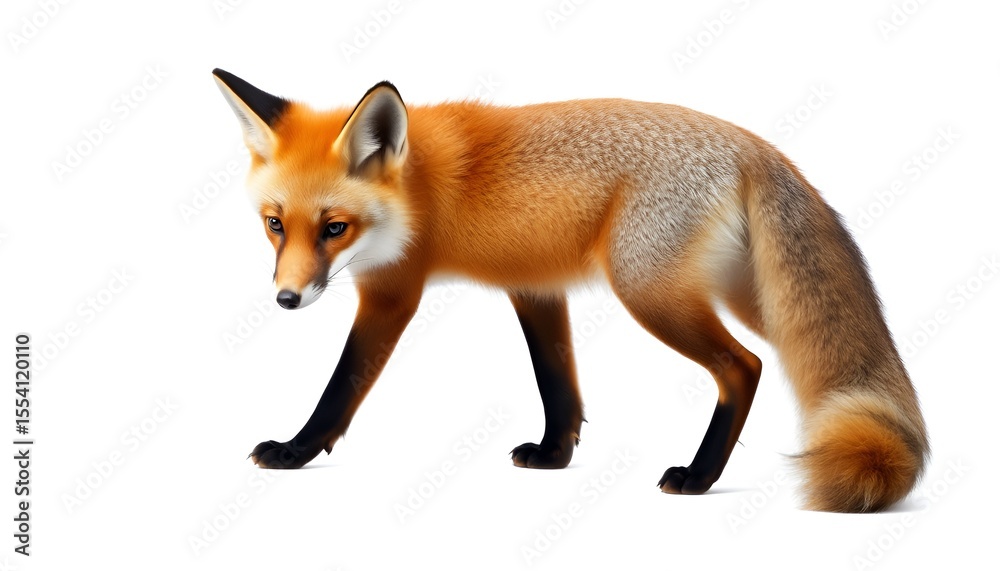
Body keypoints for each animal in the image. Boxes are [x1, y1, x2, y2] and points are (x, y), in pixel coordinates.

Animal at [212, 68, 928, 512]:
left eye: (335, 227)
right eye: (275, 224)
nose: (286, 300)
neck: (420, 190)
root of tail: (755, 145)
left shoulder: (394, 294)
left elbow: (340, 388)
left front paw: (295, 451)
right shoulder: (535, 286)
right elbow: (558, 384)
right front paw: (555, 457)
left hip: (651, 293)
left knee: (742, 366)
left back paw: (699, 478)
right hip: (749, 298)